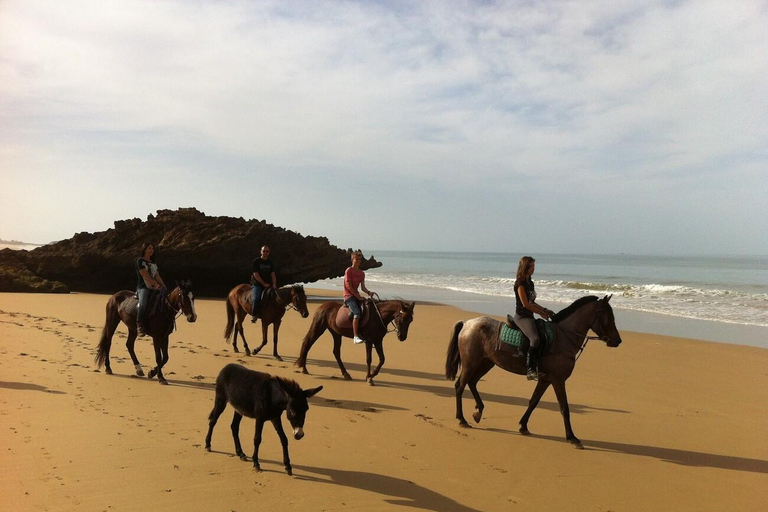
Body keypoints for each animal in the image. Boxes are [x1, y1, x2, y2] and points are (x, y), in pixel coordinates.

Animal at [448, 296, 620, 448]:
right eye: (608, 317)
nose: (618, 340)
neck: (562, 338)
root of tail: (467, 324)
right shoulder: (558, 380)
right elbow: (564, 407)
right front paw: (572, 438)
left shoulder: (546, 380)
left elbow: (534, 401)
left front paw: (523, 426)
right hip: (471, 364)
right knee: (460, 385)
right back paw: (462, 419)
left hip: (486, 363)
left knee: (472, 382)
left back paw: (478, 411)